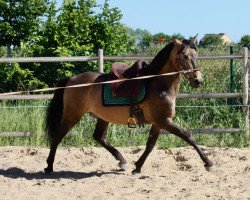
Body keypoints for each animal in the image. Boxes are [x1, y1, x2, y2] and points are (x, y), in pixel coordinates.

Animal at [44, 36, 213, 174]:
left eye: (196, 55)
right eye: (185, 56)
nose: (198, 80)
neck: (158, 83)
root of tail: (71, 80)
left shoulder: (158, 122)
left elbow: (150, 145)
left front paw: (137, 167)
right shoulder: (164, 121)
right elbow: (188, 137)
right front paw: (208, 162)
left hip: (102, 117)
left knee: (99, 137)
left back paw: (122, 160)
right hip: (72, 116)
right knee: (57, 137)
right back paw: (49, 166)